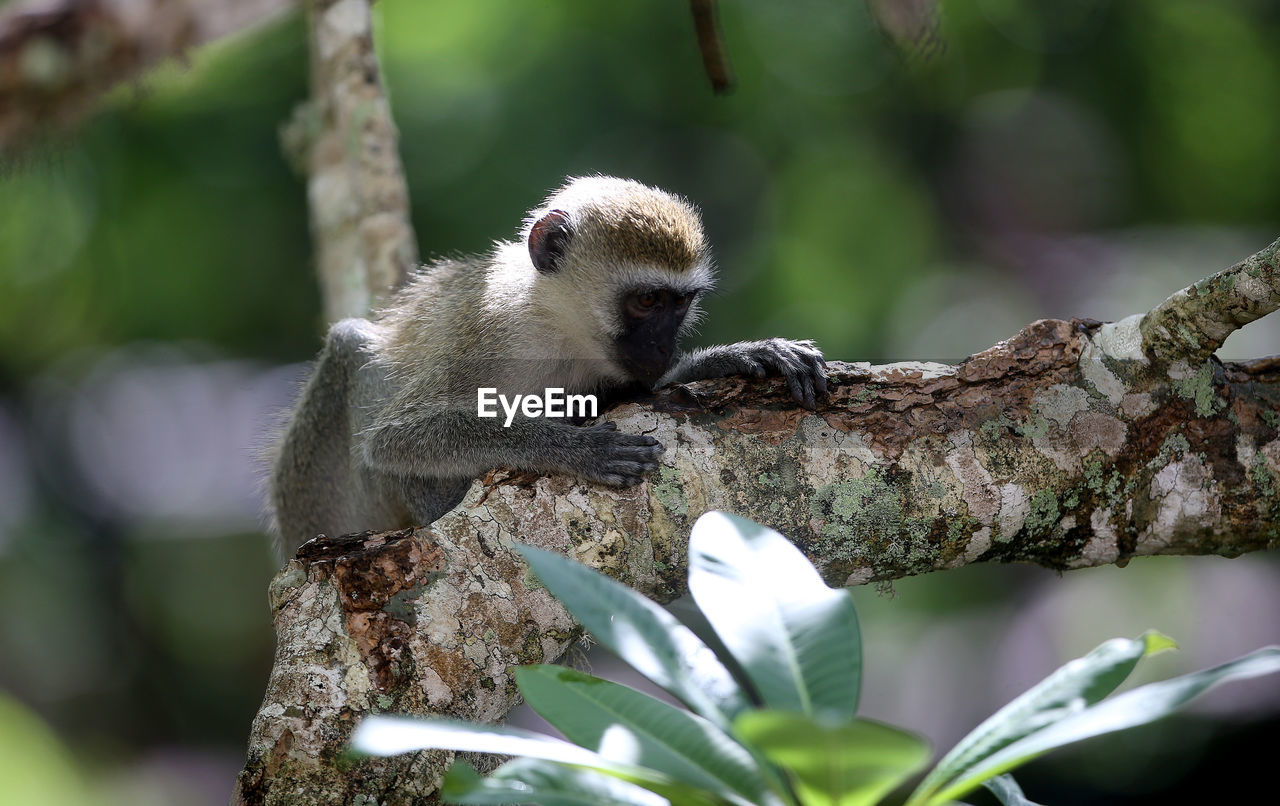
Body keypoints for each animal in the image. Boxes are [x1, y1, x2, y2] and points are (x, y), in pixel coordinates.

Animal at [272, 173, 829, 557]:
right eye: (647, 301)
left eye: (680, 304)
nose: (664, 348)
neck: (559, 331)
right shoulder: (483, 335)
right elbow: (396, 439)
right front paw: (574, 448)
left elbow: (649, 387)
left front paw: (732, 357)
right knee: (351, 349)